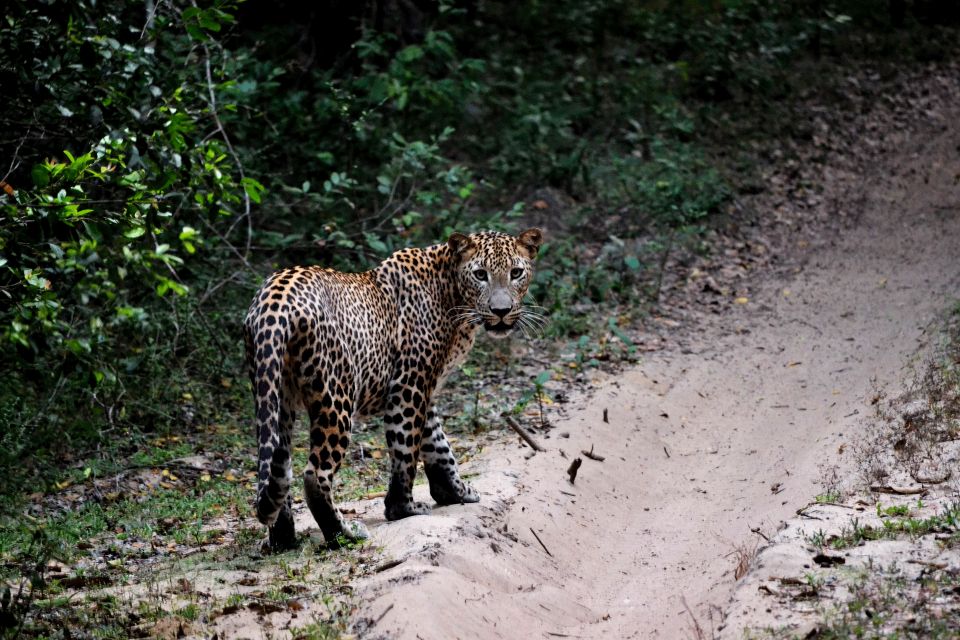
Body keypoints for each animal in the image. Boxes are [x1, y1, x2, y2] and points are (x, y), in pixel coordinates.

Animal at [244, 228, 544, 548]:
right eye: (480, 274)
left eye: (515, 273)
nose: (501, 311)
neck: (451, 293)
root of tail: (274, 300)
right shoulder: (409, 385)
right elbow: (406, 448)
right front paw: (402, 508)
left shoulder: (426, 389)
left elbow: (438, 445)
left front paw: (455, 492)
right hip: (336, 397)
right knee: (315, 474)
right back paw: (344, 534)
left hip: (274, 395)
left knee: (276, 465)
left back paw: (281, 540)